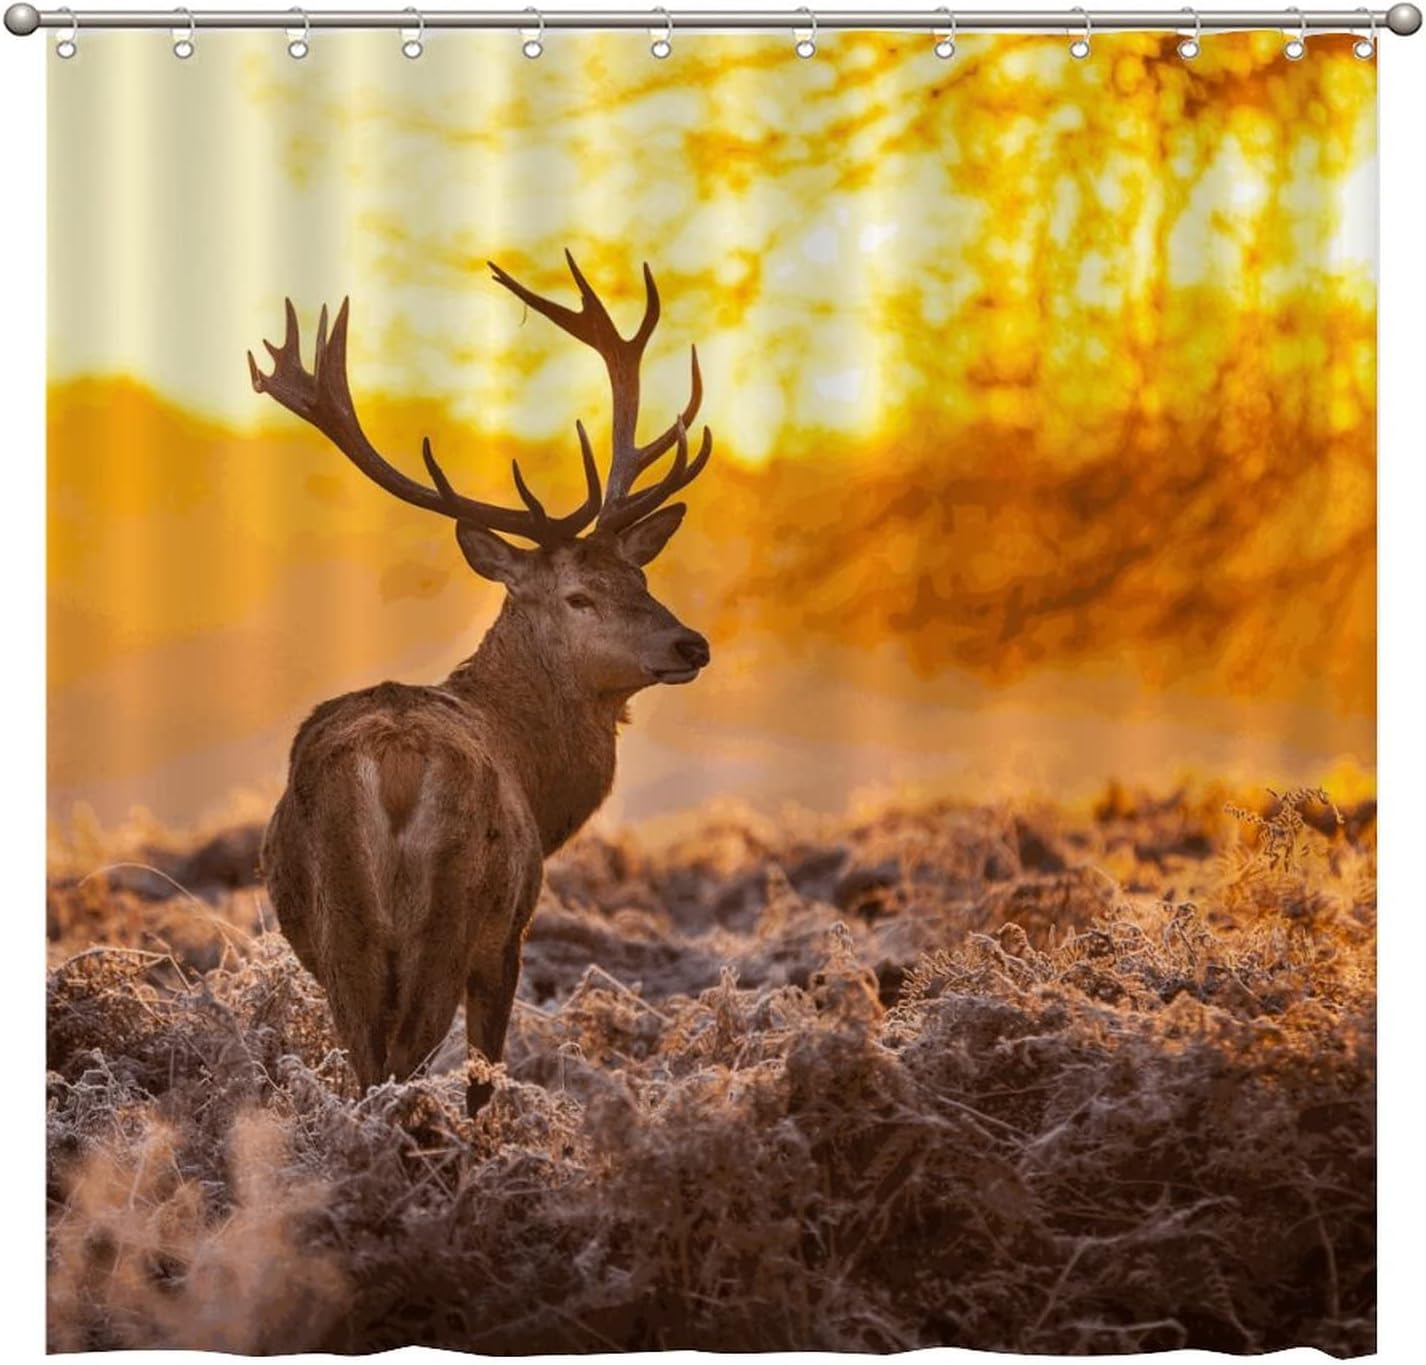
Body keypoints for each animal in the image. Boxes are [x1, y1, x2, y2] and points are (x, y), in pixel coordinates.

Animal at [247, 253, 712, 1116]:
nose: (690, 642)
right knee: (404, 1066)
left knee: (368, 1065)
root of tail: (395, 765)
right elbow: (484, 1079)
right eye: (579, 595)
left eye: (639, 575)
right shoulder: (511, 934)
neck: (537, 771)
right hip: (451, 917)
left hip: (341, 929)